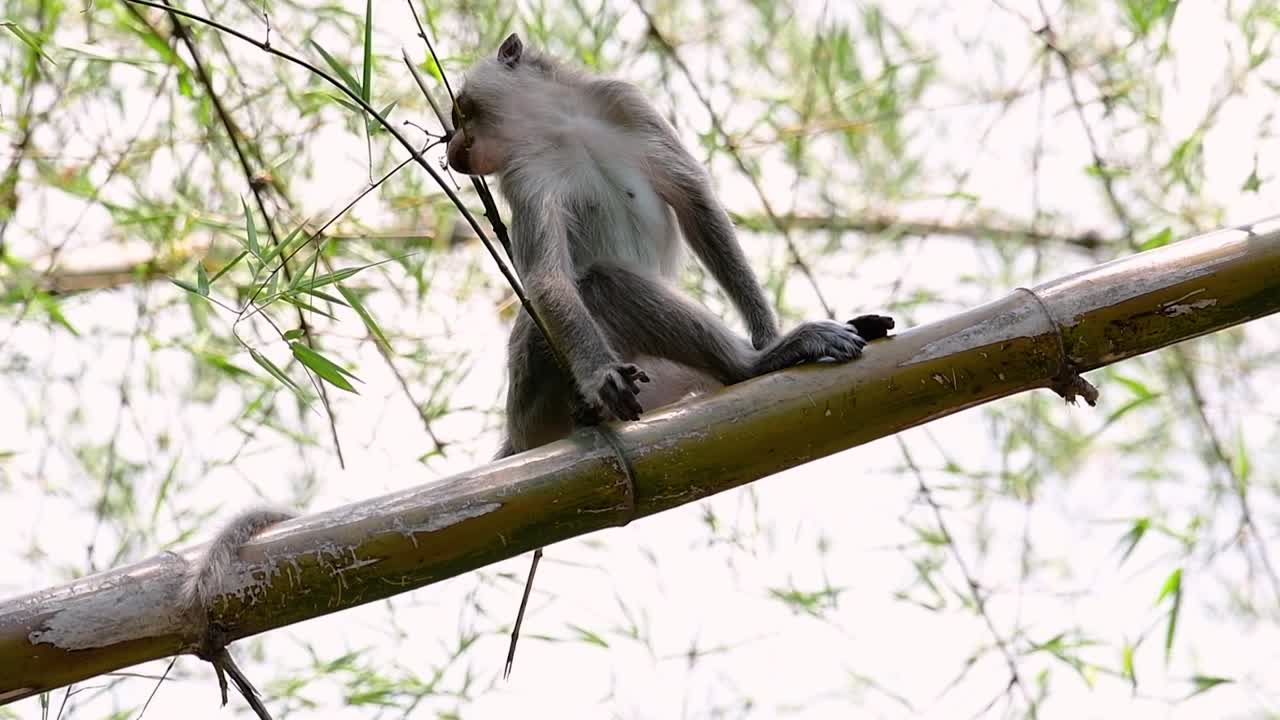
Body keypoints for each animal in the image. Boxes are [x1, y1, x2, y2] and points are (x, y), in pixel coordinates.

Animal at [445, 34, 894, 457]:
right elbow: (547, 278)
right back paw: (751, 366)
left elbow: (695, 204)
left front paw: (766, 333)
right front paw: (600, 373)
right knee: (601, 282)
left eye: (458, 114)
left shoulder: (625, 103)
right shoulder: (525, 174)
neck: (557, 126)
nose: (452, 152)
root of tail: (518, 434)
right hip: (538, 383)